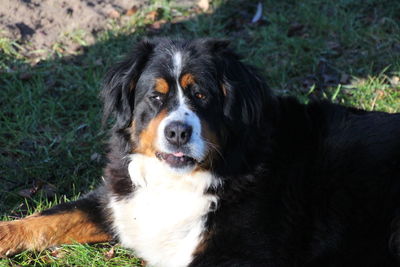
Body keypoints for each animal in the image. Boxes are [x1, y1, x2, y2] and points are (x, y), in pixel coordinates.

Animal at [0, 38, 400, 267]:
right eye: (156, 96)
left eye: (202, 95)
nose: (177, 131)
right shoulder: (117, 200)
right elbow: (49, 218)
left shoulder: (239, 252)